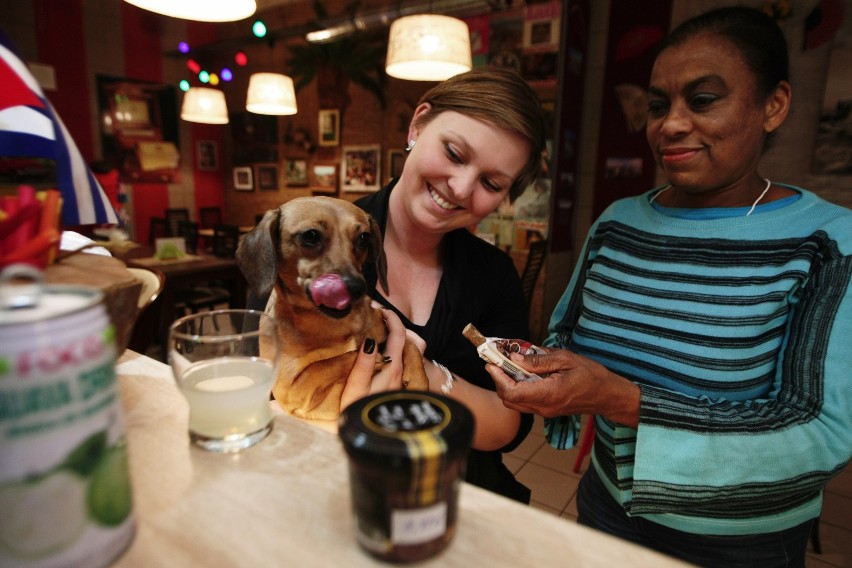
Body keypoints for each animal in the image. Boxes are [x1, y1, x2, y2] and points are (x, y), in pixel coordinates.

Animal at [236, 197, 430, 420]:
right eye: (310, 235)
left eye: (364, 238)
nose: (357, 287)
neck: (337, 325)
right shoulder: (289, 389)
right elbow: (322, 365)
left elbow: (410, 343)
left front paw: (419, 381)